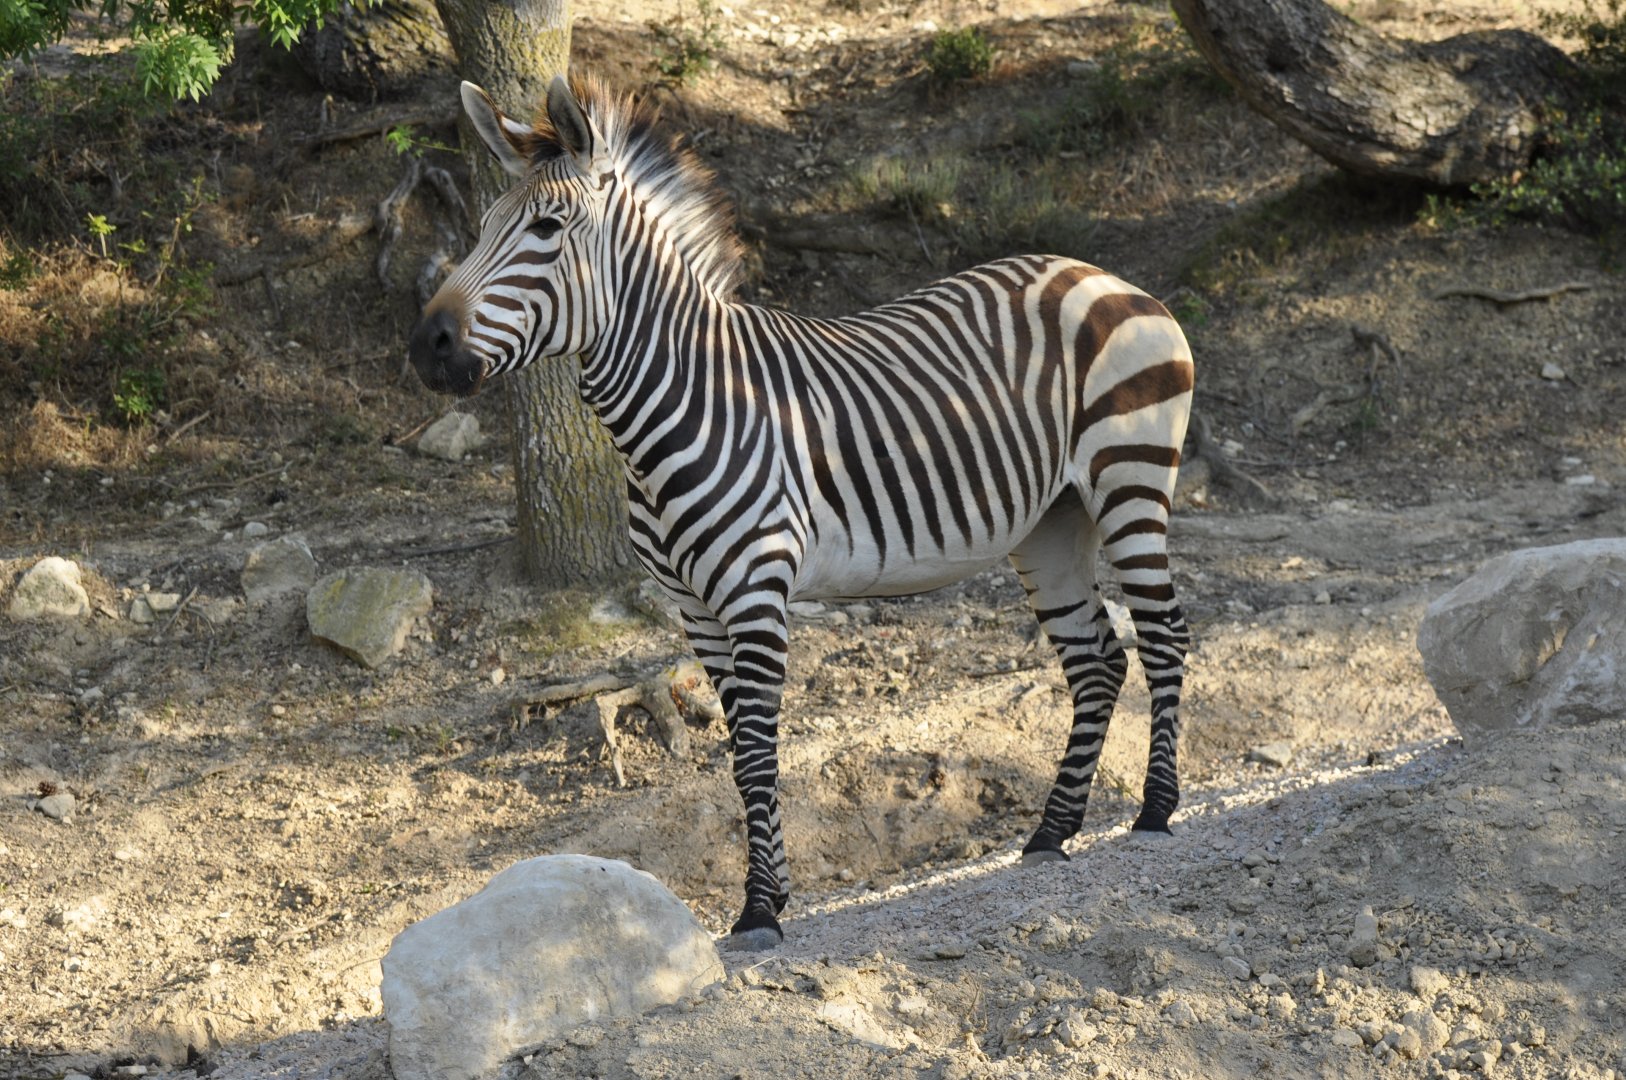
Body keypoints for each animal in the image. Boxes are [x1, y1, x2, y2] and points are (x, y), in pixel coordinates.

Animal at [410, 75, 1194, 949]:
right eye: (482, 228)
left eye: (546, 229)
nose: (428, 344)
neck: (681, 404)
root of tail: (1101, 275)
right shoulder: (694, 610)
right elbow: (738, 755)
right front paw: (770, 896)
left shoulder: (755, 592)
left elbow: (756, 751)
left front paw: (759, 909)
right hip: (1051, 524)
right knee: (1098, 661)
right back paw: (1053, 831)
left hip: (1129, 481)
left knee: (1164, 634)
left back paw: (1157, 810)